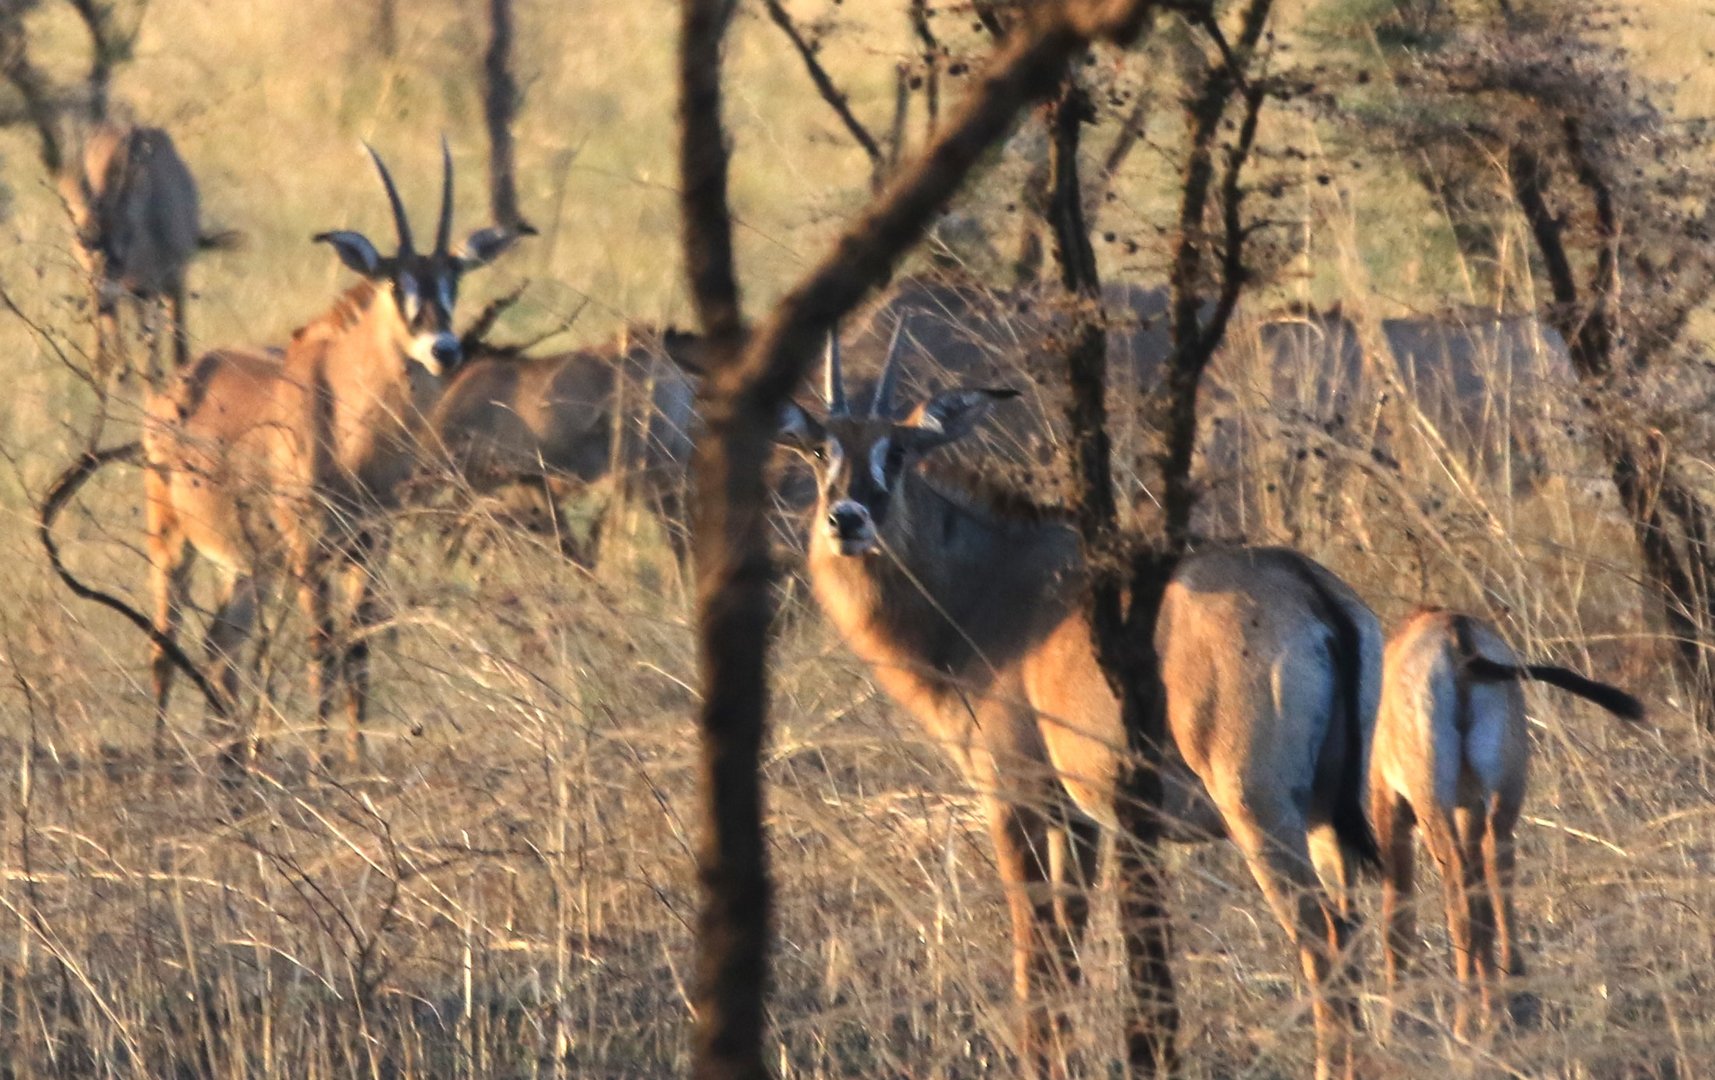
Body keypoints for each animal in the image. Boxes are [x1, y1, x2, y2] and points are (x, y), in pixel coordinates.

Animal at [145, 140, 522, 764]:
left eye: (454, 282)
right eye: (395, 286)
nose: (444, 350)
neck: (352, 429)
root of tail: (176, 382)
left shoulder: (370, 550)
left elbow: (359, 655)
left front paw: (356, 761)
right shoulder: (308, 551)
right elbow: (323, 652)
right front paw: (323, 763)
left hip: (247, 565)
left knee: (220, 649)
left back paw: (230, 763)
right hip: (172, 541)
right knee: (163, 646)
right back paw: (162, 763)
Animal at [775, 335, 1383, 1079]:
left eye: (899, 451)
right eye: (818, 450)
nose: (847, 520)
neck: (993, 586)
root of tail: (1313, 594)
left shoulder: (1018, 797)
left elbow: (1034, 954)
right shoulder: (1083, 819)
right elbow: (1066, 953)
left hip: (1258, 810)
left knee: (1322, 938)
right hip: (1326, 816)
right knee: (1351, 933)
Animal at [1369, 608, 1643, 1036]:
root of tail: (1455, 634)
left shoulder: (1392, 809)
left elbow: (1397, 912)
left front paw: (1392, 1022)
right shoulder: (1471, 809)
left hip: (1434, 809)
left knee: (1462, 898)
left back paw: (1466, 1020)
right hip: (1500, 805)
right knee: (1496, 885)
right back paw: (1504, 1000)